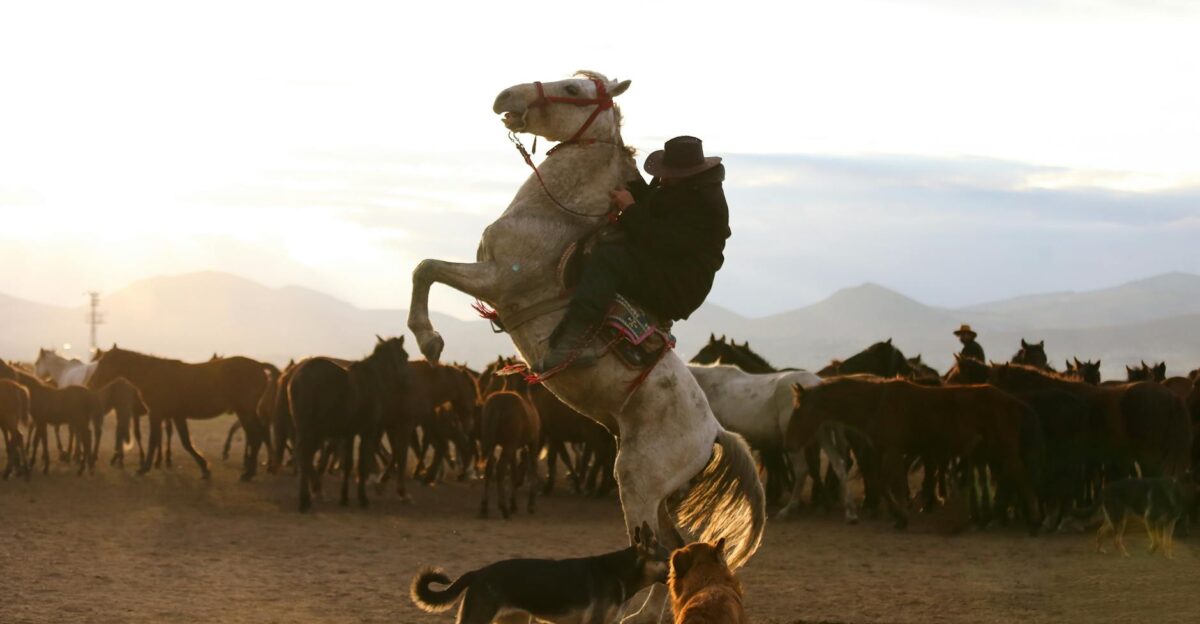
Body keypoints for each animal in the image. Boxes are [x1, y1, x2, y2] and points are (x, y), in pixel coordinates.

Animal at [87, 345, 273, 480]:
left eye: (102, 363)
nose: (90, 385)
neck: (153, 375)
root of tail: (260, 366)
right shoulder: (176, 415)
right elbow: (185, 442)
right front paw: (204, 468)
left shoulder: (157, 414)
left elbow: (154, 441)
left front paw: (144, 468)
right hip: (245, 412)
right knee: (258, 434)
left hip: (245, 411)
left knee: (257, 435)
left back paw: (250, 471)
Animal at [288, 336, 410, 512]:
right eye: (405, 355)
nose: (408, 383)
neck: (373, 379)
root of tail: (299, 377)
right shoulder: (367, 431)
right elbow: (361, 464)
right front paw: (363, 498)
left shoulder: (349, 433)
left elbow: (347, 464)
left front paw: (344, 498)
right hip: (314, 430)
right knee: (305, 455)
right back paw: (308, 497)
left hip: (305, 428)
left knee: (303, 456)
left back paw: (308, 497)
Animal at [478, 390, 541, 518]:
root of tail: (498, 405)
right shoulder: (533, 442)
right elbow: (532, 468)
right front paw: (530, 504)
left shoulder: (514, 447)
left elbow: (513, 472)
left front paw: (513, 504)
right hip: (508, 445)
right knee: (500, 468)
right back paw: (504, 508)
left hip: (493, 443)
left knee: (489, 469)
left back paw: (484, 508)